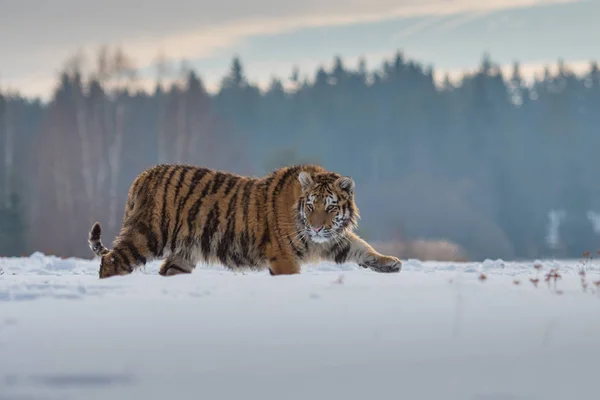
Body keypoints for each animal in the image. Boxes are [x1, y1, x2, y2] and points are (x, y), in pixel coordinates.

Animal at [86, 162, 400, 278]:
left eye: (330, 207)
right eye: (311, 206)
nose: (316, 226)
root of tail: (142, 177)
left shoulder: (332, 240)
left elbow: (362, 248)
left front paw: (390, 263)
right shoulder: (284, 256)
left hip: (183, 254)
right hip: (148, 234)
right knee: (111, 260)